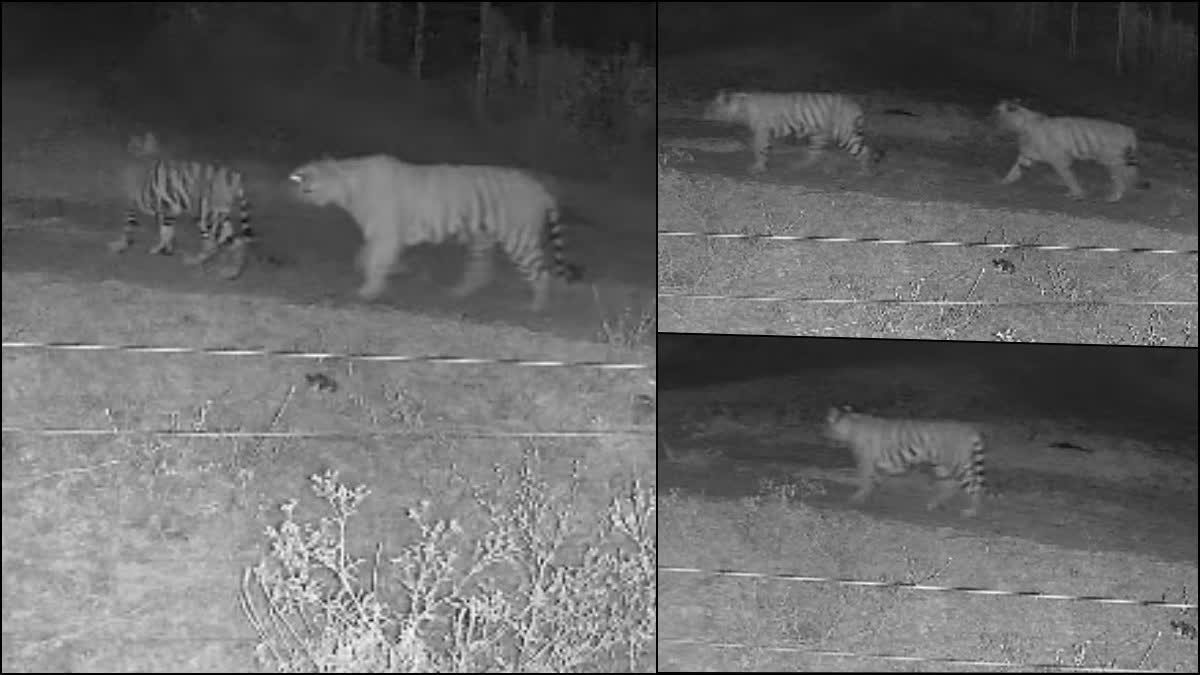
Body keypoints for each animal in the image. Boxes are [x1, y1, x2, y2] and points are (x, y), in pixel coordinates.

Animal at [108, 131, 260, 280]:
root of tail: (236, 177)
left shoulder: (164, 207)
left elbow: (151, 229)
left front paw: (126, 245)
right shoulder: (167, 211)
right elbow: (166, 230)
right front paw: (167, 249)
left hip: (206, 216)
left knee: (223, 244)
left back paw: (223, 270)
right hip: (215, 216)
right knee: (225, 242)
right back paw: (216, 266)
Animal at [287, 155, 581, 312]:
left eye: (308, 188)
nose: (296, 197)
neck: (348, 186)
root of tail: (540, 188)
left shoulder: (385, 234)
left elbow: (374, 261)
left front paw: (369, 291)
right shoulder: (382, 236)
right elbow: (364, 257)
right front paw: (395, 272)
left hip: (519, 239)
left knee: (539, 272)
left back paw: (536, 306)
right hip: (482, 239)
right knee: (480, 271)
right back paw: (458, 293)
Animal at [702, 90, 881, 175]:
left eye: (711, 107)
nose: (704, 113)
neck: (741, 106)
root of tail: (855, 104)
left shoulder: (761, 131)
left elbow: (759, 149)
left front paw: (758, 168)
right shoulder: (764, 133)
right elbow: (763, 149)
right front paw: (762, 166)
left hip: (844, 134)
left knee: (864, 151)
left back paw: (864, 172)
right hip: (819, 135)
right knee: (815, 154)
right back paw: (800, 166)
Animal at [825, 405, 986, 518]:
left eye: (825, 426)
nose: (821, 432)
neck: (852, 424)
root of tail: (969, 428)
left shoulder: (866, 462)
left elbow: (865, 480)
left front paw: (856, 499)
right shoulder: (876, 465)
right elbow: (872, 482)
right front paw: (865, 498)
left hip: (957, 466)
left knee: (973, 486)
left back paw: (972, 512)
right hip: (941, 466)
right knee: (949, 485)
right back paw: (933, 504)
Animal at [993, 99, 1150, 203]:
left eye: (998, 113)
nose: (990, 117)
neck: (1022, 125)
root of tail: (1130, 130)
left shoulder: (1059, 160)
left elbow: (1069, 178)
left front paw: (1077, 194)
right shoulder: (1027, 155)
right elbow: (1015, 169)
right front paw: (1004, 182)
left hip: (1113, 162)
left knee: (1120, 181)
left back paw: (1114, 197)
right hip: (1121, 162)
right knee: (1130, 176)